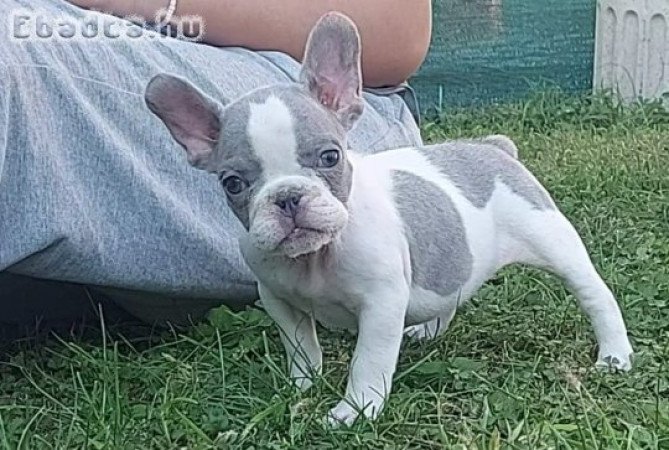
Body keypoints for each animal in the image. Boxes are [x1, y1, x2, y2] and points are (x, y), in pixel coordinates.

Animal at [145, 11, 632, 426]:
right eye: (232, 183)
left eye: (330, 157)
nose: (288, 197)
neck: (318, 256)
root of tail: (493, 149)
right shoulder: (279, 300)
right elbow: (300, 347)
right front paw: (302, 386)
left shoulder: (380, 306)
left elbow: (369, 360)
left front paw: (354, 411)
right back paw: (427, 330)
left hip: (554, 241)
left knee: (595, 295)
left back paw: (614, 355)